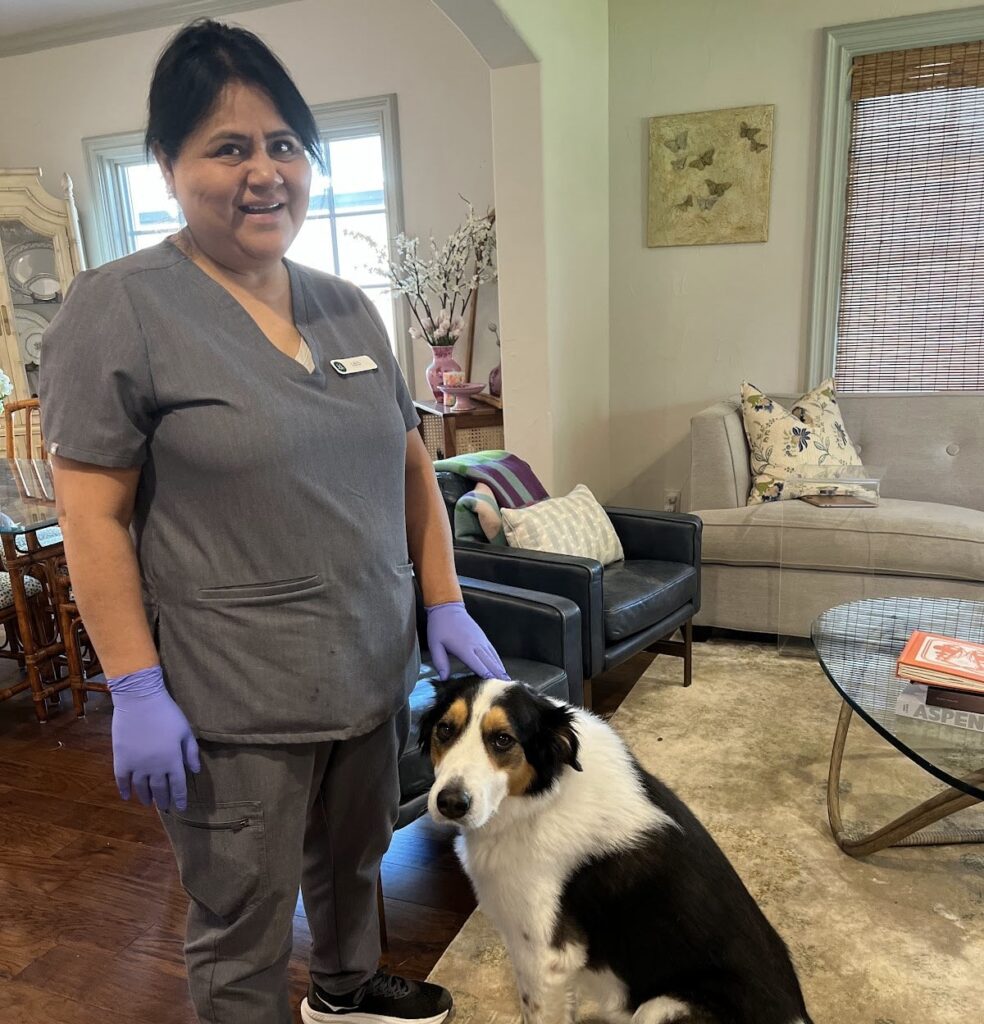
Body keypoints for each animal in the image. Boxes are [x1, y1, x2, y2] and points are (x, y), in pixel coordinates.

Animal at [417, 679, 810, 1024]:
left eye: (502, 740)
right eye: (445, 730)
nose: (450, 803)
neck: (542, 796)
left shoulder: (545, 957)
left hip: (661, 1007)